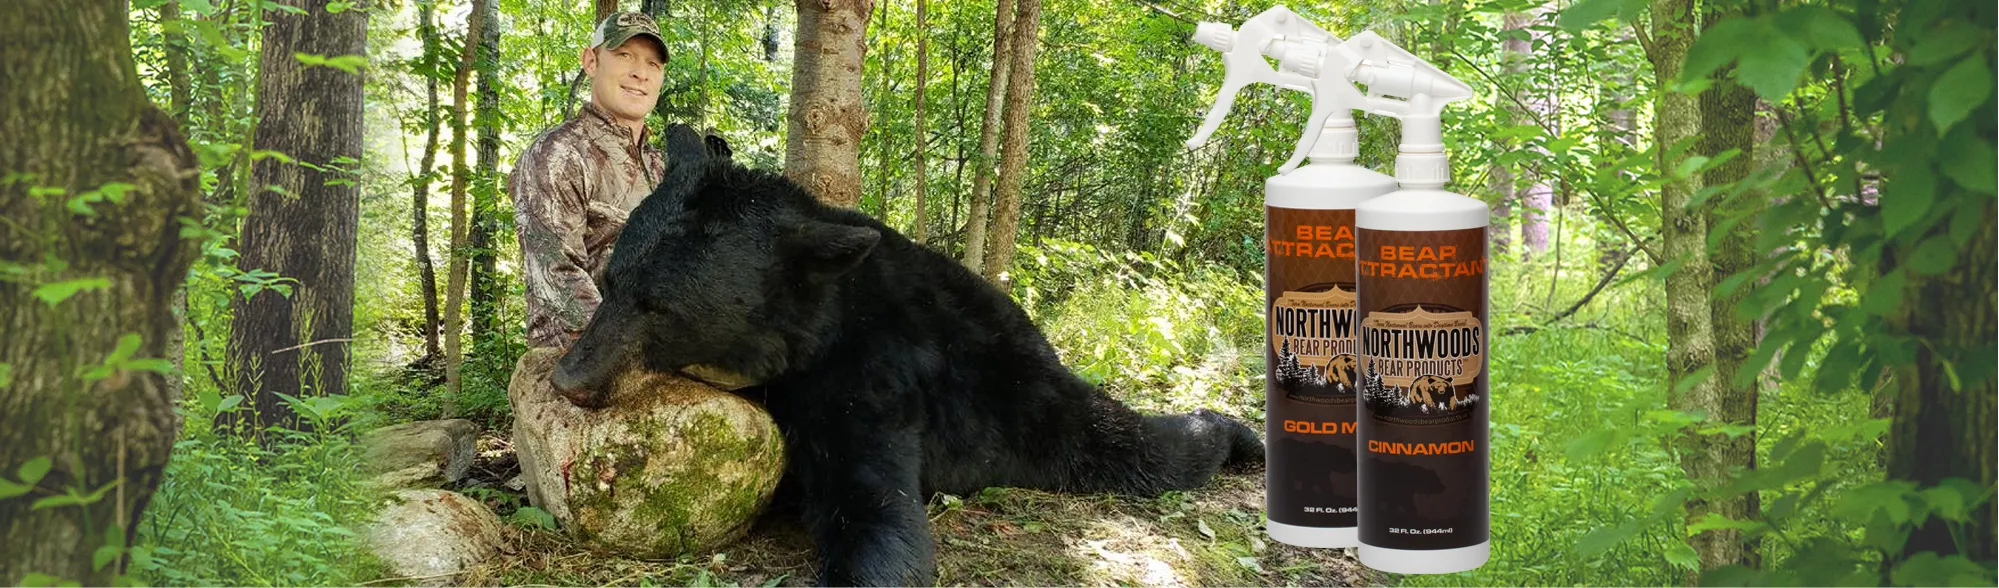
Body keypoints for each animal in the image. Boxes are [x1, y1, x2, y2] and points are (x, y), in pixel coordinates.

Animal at [548, 124, 1265, 586]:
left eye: (660, 309)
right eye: (612, 282)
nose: (568, 380)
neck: (817, 322)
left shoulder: (871, 375)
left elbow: (878, 517)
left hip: (1034, 409)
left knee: (1144, 447)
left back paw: (1240, 437)